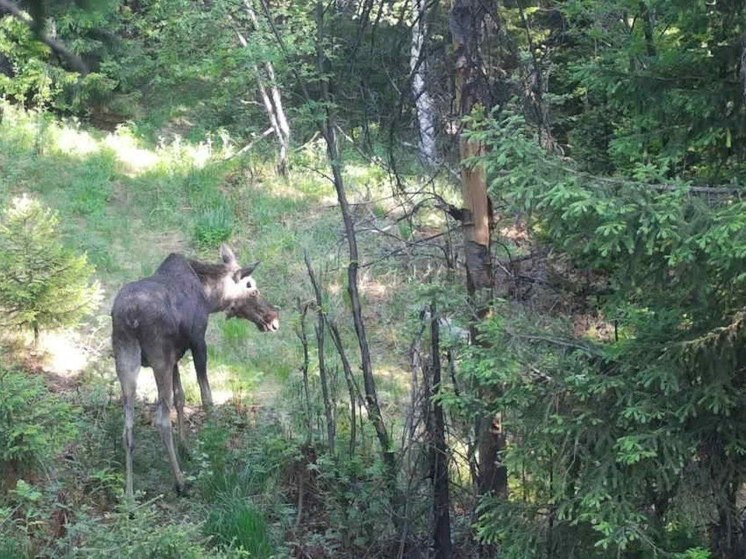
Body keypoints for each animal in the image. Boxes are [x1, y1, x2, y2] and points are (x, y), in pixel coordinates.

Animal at [112, 246, 280, 504]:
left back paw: (130, 496)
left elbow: (181, 397)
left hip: (125, 359)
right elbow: (206, 398)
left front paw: (185, 447)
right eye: (252, 287)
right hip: (158, 359)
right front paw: (214, 440)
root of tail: (131, 317)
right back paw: (180, 483)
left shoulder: (175, 356)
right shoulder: (197, 342)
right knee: (162, 419)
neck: (210, 297)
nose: (273, 319)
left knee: (128, 427)